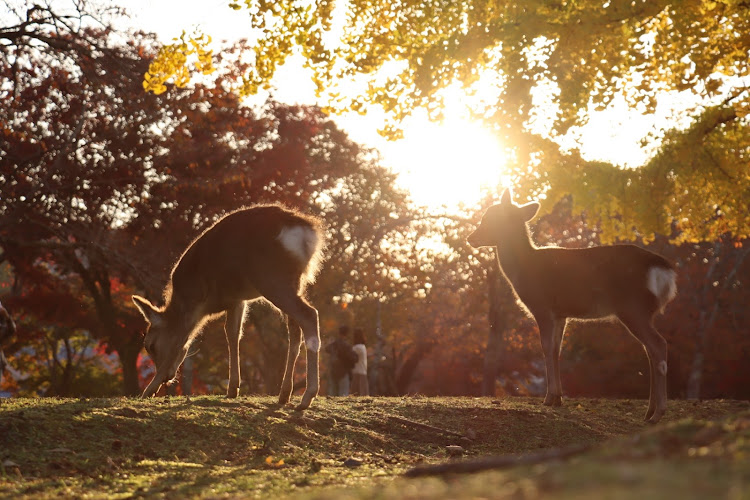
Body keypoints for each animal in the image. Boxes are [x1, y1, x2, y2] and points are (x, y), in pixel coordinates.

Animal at [132, 203, 326, 410]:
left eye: (150, 345)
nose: (167, 378)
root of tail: (307, 233)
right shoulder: (237, 300)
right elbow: (233, 334)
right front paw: (233, 389)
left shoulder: (196, 304)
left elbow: (179, 343)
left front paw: (148, 390)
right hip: (296, 282)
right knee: (295, 331)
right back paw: (284, 394)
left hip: (271, 278)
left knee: (309, 315)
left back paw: (307, 396)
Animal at [468, 189, 680, 424]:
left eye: (489, 218)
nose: (470, 238)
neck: (524, 267)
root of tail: (665, 271)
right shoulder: (562, 315)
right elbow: (556, 349)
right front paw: (558, 398)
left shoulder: (543, 307)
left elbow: (546, 347)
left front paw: (548, 398)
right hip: (643, 311)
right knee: (650, 349)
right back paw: (649, 411)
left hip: (633, 307)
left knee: (658, 345)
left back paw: (658, 413)